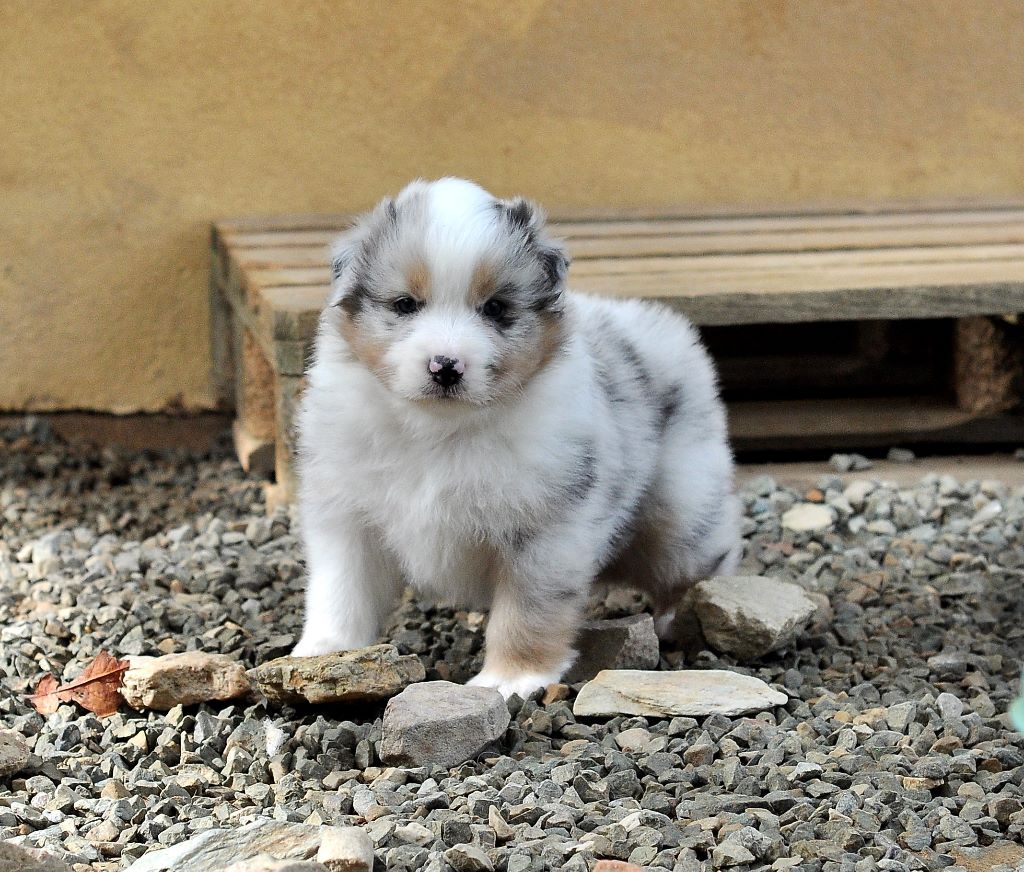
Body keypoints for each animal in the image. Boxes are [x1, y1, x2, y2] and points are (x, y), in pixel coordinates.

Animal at [292, 180, 741, 700]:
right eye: (405, 305)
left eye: (495, 309)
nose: (445, 366)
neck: (440, 431)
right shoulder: (347, 514)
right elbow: (342, 588)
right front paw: (325, 651)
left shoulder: (546, 530)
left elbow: (528, 609)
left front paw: (510, 679)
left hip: (682, 506)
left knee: (701, 558)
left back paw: (686, 617)